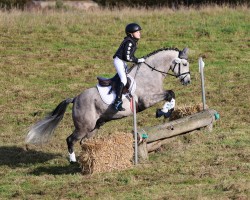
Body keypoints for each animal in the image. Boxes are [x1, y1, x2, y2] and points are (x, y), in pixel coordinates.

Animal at [25, 47, 189, 162]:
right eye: (185, 64)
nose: (187, 81)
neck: (149, 73)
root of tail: (75, 98)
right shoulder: (147, 100)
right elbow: (170, 93)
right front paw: (163, 111)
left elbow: (171, 94)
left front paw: (168, 110)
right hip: (84, 126)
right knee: (70, 139)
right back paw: (73, 160)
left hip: (94, 126)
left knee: (84, 142)